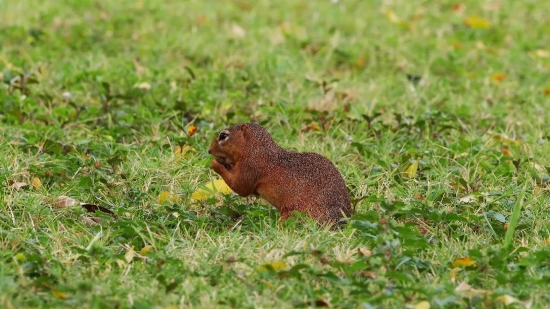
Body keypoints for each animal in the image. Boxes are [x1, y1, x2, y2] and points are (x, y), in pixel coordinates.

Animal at [207, 122, 354, 226]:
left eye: (223, 136)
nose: (209, 150)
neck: (255, 149)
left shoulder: (251, 167)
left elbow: (241, 187)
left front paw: (215, 163)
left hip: (296, 213)